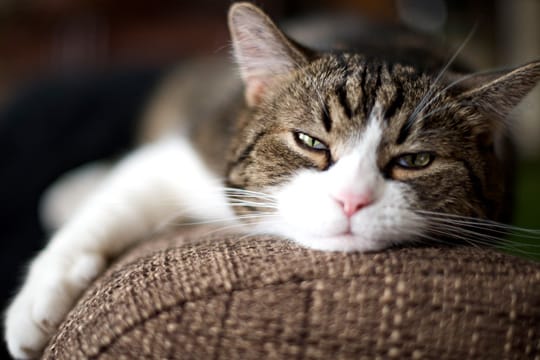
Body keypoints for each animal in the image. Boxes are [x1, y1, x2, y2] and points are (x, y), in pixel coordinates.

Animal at [4, 1, 540, 358]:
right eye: (310, 141)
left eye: (415, 160)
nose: (351, 200)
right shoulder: (195, 150)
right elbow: (120, 196)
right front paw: (37, 301)